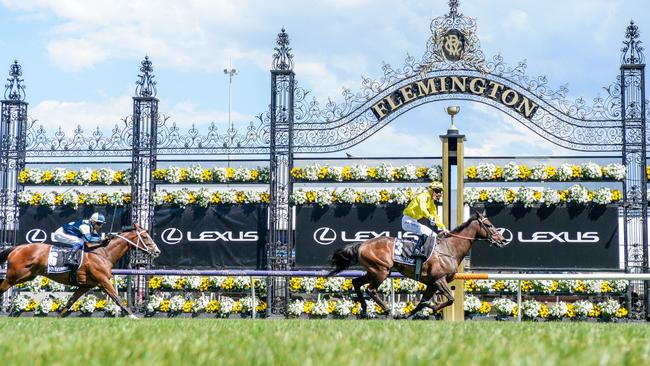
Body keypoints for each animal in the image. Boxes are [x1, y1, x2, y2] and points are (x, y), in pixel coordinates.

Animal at [0, 223, 159, 318]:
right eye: (145, 236)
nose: (157, 251)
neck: (103, 253)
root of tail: (17, 248)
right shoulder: (103, 281)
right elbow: (117, 298)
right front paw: (133, 316)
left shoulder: (85, 285)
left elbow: (70, 302)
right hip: (14, 276)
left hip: (27, 276)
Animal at [326, 212, 504, 318]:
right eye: (489, 225)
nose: (502, 239)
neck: (449, 249)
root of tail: (362, 244)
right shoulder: (439, 280)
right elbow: (450, 299)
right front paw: (431, 307)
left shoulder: (432, 283)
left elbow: (422, 302)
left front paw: (409, 314)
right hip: (381, 270)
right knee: (371, 290)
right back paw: (388, 311)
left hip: (374, 271)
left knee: (356, 282)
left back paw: (363, 309)